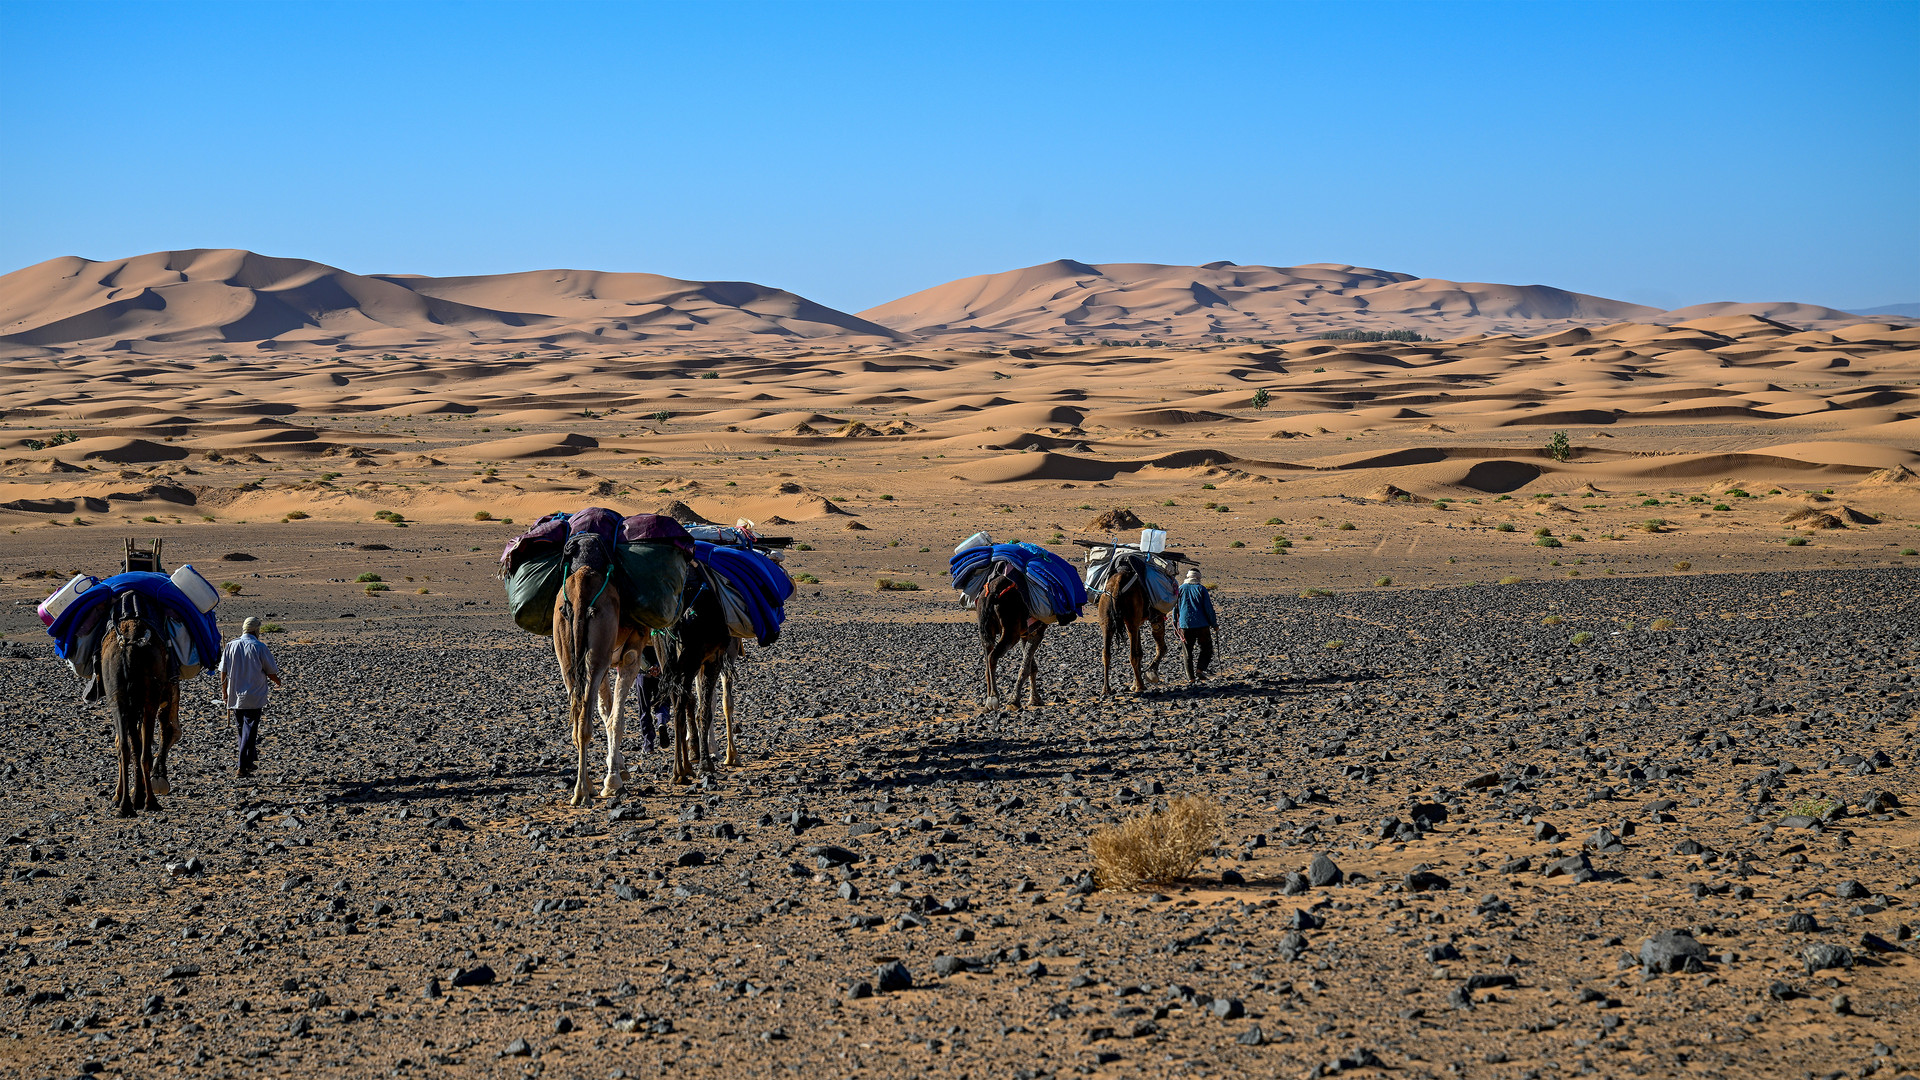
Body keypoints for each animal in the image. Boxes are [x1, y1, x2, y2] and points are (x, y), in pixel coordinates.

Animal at [552, 534, 648, 803]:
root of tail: (581, 581)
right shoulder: (630, 656)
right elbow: (616, 717)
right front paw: (614, 780)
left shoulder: (606, 663)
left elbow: (605, 711)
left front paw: (618, 768)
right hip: (599, 650)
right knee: (585, 720)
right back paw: (584, 791)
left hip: (568, 653)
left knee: (578, 719)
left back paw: (583, 788)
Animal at [975, 557, 1052, 711]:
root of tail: (992, 593)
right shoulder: (1037, 631)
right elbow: (1025, 667)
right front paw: (1014, 701)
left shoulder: (1025, 634)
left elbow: (1031, 666)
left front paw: (1035, 699)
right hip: (1010, 631)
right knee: (992, 657)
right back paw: (993, 698)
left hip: (985, 630)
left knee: (987, 659)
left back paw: (987, 702)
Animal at [1098, 549, 1167, 691]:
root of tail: (1117, 583)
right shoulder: (1155, 616)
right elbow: (1160, 647)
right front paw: (1150, 674)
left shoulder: (1138, 622)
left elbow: (1140, 652)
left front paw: (1136, 682)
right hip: (1131, 620)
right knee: (1133, 655)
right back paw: (1140, 686)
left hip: (1107, 620)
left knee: (1106, 653)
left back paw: (1106, 689)